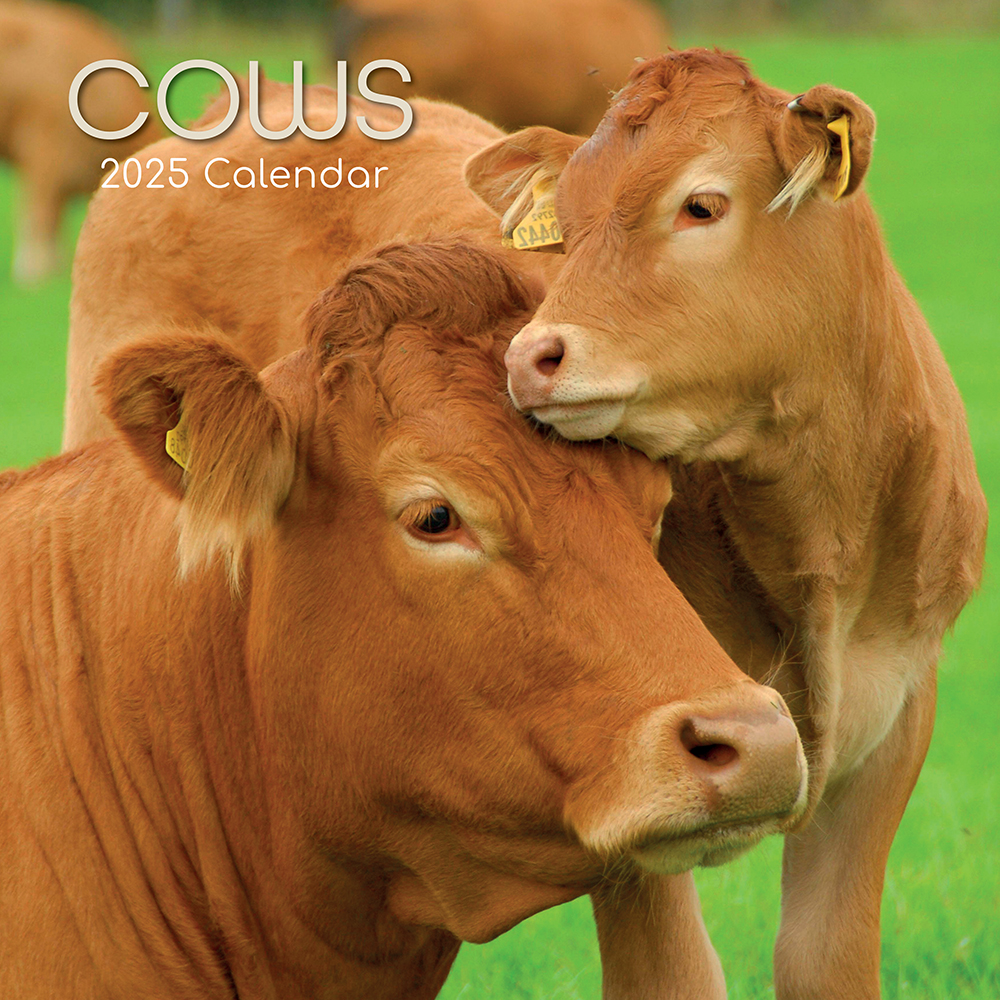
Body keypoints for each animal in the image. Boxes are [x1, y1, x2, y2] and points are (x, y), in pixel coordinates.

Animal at [465, 48, 988, 999]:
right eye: (570, 229)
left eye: (701, 205)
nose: (529, 356)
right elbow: (672, 973)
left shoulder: (899, 717)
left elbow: (824, 960)